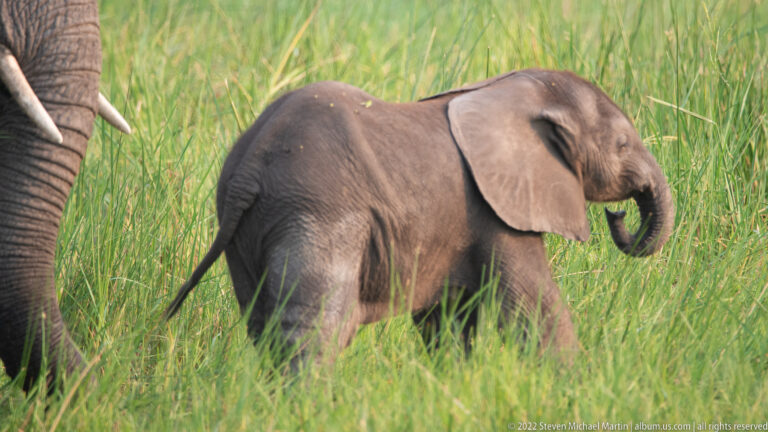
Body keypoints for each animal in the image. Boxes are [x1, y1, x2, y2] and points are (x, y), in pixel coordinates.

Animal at [165, 69, 674, 365]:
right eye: (622, 144)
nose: (618, 215)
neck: (505, 90)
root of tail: (251, 163)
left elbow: (446, 318)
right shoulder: (498, 211)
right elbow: (535, 307)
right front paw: (572, 387)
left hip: (248, 230)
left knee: (262, 322)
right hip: (315, 211)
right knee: (315, 324)